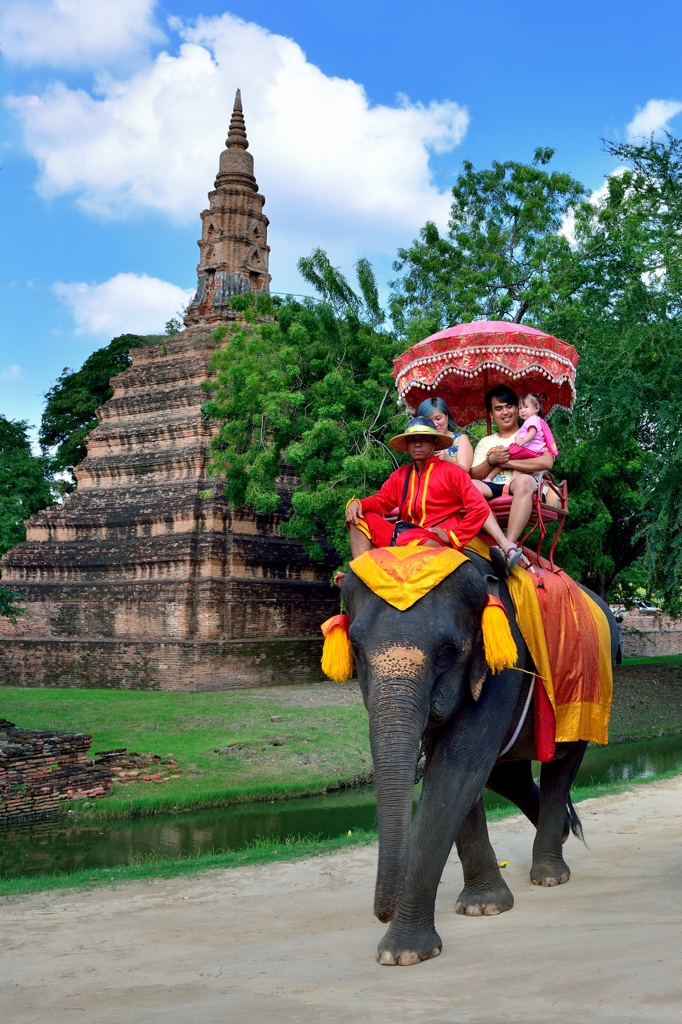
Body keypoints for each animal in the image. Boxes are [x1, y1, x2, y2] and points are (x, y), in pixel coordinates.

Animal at [339, 548, 614, 962]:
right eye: (356, 650)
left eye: (447, 653)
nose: (384, 912)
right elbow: (458, 772)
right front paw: (484, 907)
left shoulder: (503, 664)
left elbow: (457, 767)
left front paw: (403, 953)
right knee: (506, 774)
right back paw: (564, 832)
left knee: (561, 763)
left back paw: (550, 875)